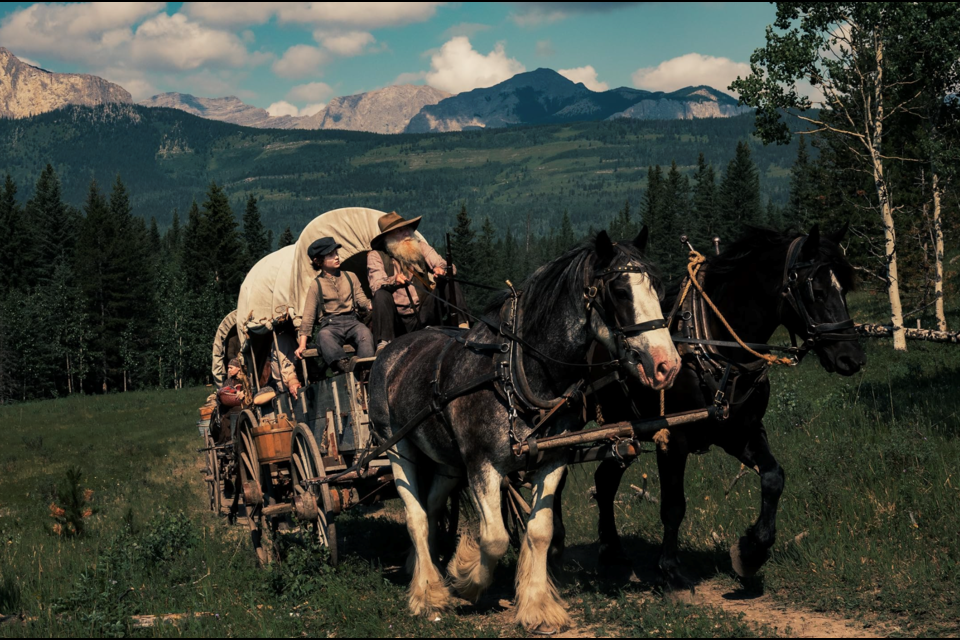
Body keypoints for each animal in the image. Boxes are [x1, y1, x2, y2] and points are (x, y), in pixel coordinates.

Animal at [370, 229, 684, 632]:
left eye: (658, 287)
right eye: (620, 291)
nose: (667, 365)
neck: (516, 374)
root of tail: (393, 349)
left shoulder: (552, 459)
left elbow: (539, 531)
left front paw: (537, 606)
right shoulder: (482, 465)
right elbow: (495, 539)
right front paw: (466, 580)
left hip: (446, 460)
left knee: (433, 504)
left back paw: (421, 567)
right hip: (396, 444)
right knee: (416, 516)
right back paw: (427, 592)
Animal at [564, 224, 872, 584]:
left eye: (844, 288)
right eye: (816, 290)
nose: (851, 357)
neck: (711, 346)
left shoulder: (741, 431)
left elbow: (774, 477)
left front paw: (752, 550)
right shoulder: (673, 439)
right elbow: (673, 505)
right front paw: (670, 567)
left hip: (621, 434)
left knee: (604, 480)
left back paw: (611, 551)